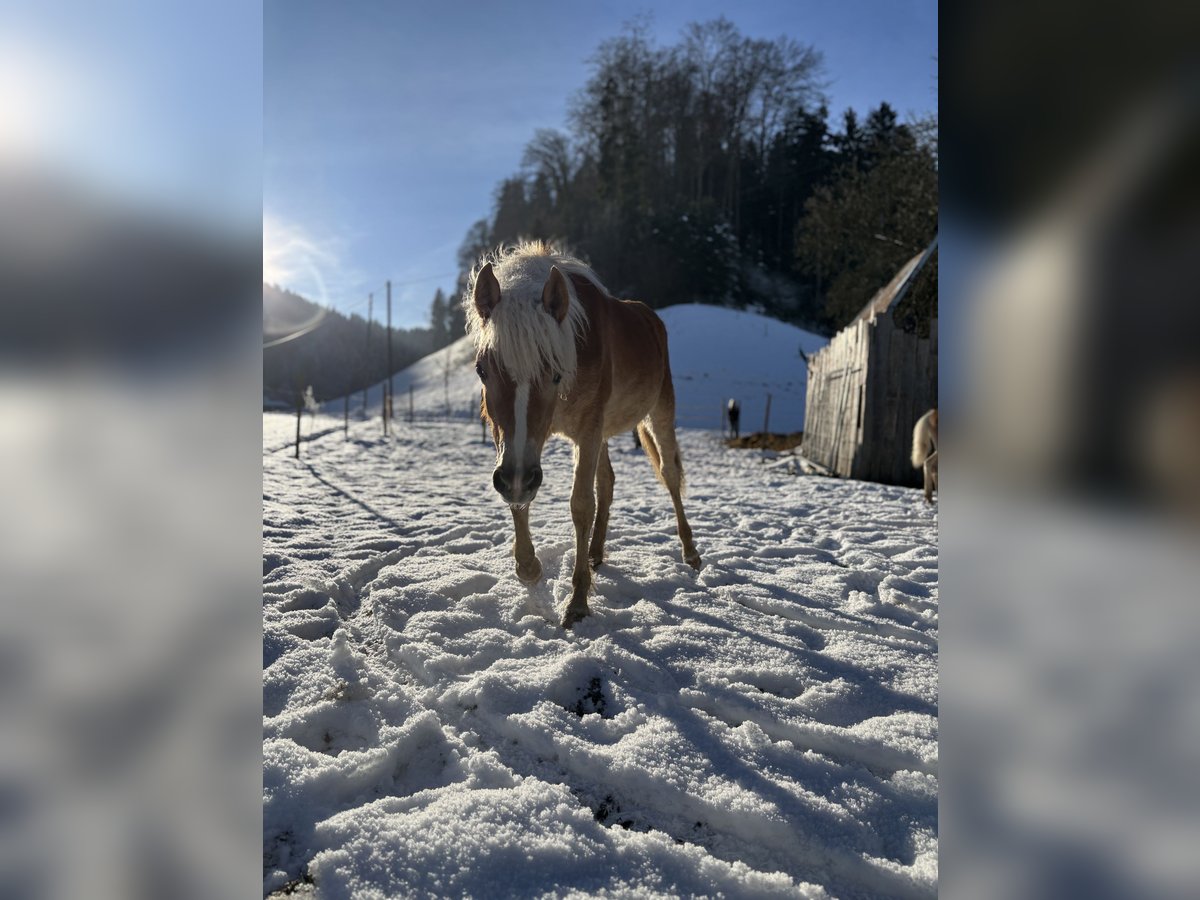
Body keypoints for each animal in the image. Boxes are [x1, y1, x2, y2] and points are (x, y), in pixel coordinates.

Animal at [460, 243, 700, 628]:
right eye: (482, 370)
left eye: (555, 375)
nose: (517, 479)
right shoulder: (513, 443)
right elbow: (521, 500)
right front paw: (529, 567)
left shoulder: (586, 430)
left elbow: (581, 505)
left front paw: (577, 601)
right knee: (608, 481)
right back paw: (595, 552)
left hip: (659, 412)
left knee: (670, 475)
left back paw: (690, 552)